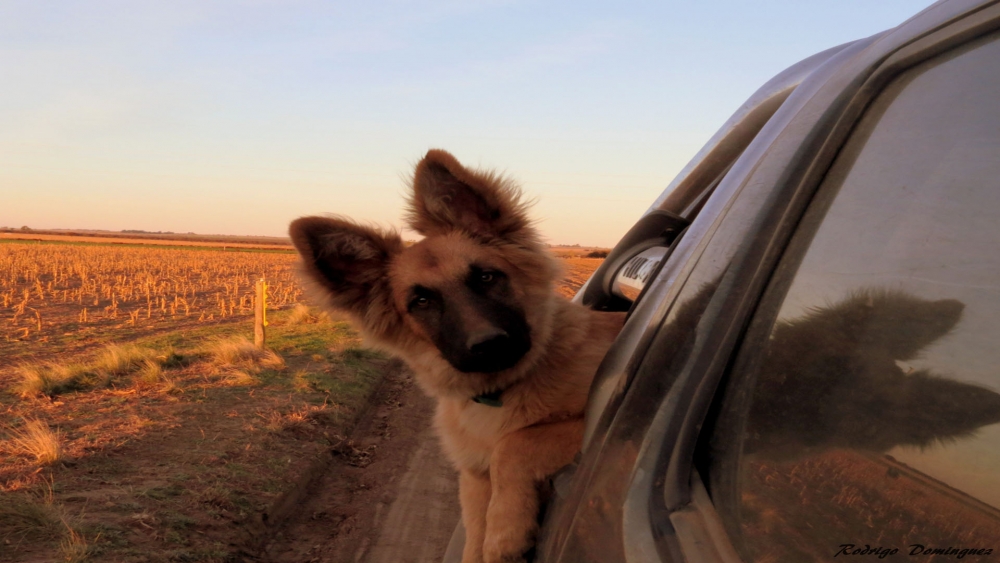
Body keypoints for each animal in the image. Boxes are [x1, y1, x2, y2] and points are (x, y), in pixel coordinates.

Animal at [286, 150, 624, 563]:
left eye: (486, 277)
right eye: (421, 301)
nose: (489, 345)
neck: (501, 392)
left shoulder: (591, 420)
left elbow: (514, 444)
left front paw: (506, 535)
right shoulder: (475, 477)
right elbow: (475, 528)